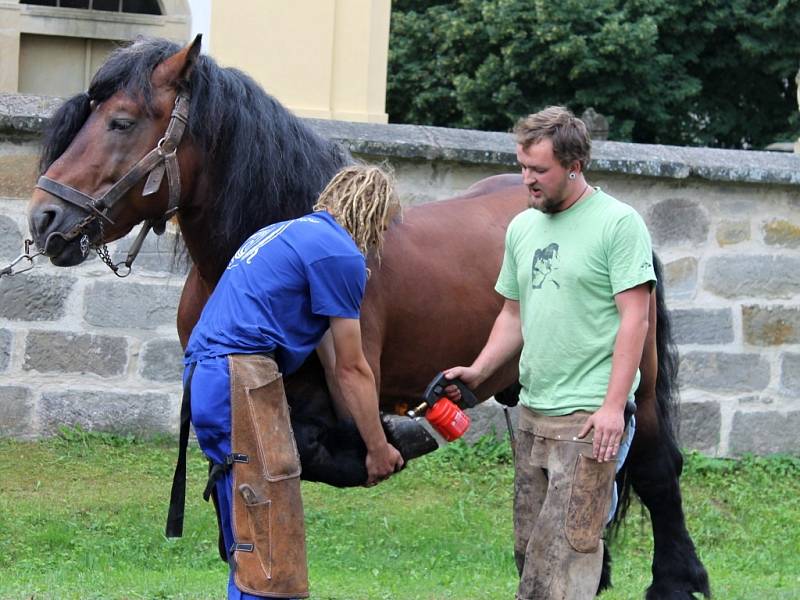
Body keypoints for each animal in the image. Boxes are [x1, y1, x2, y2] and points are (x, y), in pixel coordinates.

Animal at [28, 35, 708, 596]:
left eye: (121, 121)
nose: (43, 219)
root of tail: (602, 206)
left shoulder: (339, 387)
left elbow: (315, 450)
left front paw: (390, 443)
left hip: (632, 387)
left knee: (654, 467)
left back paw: (677, 581)